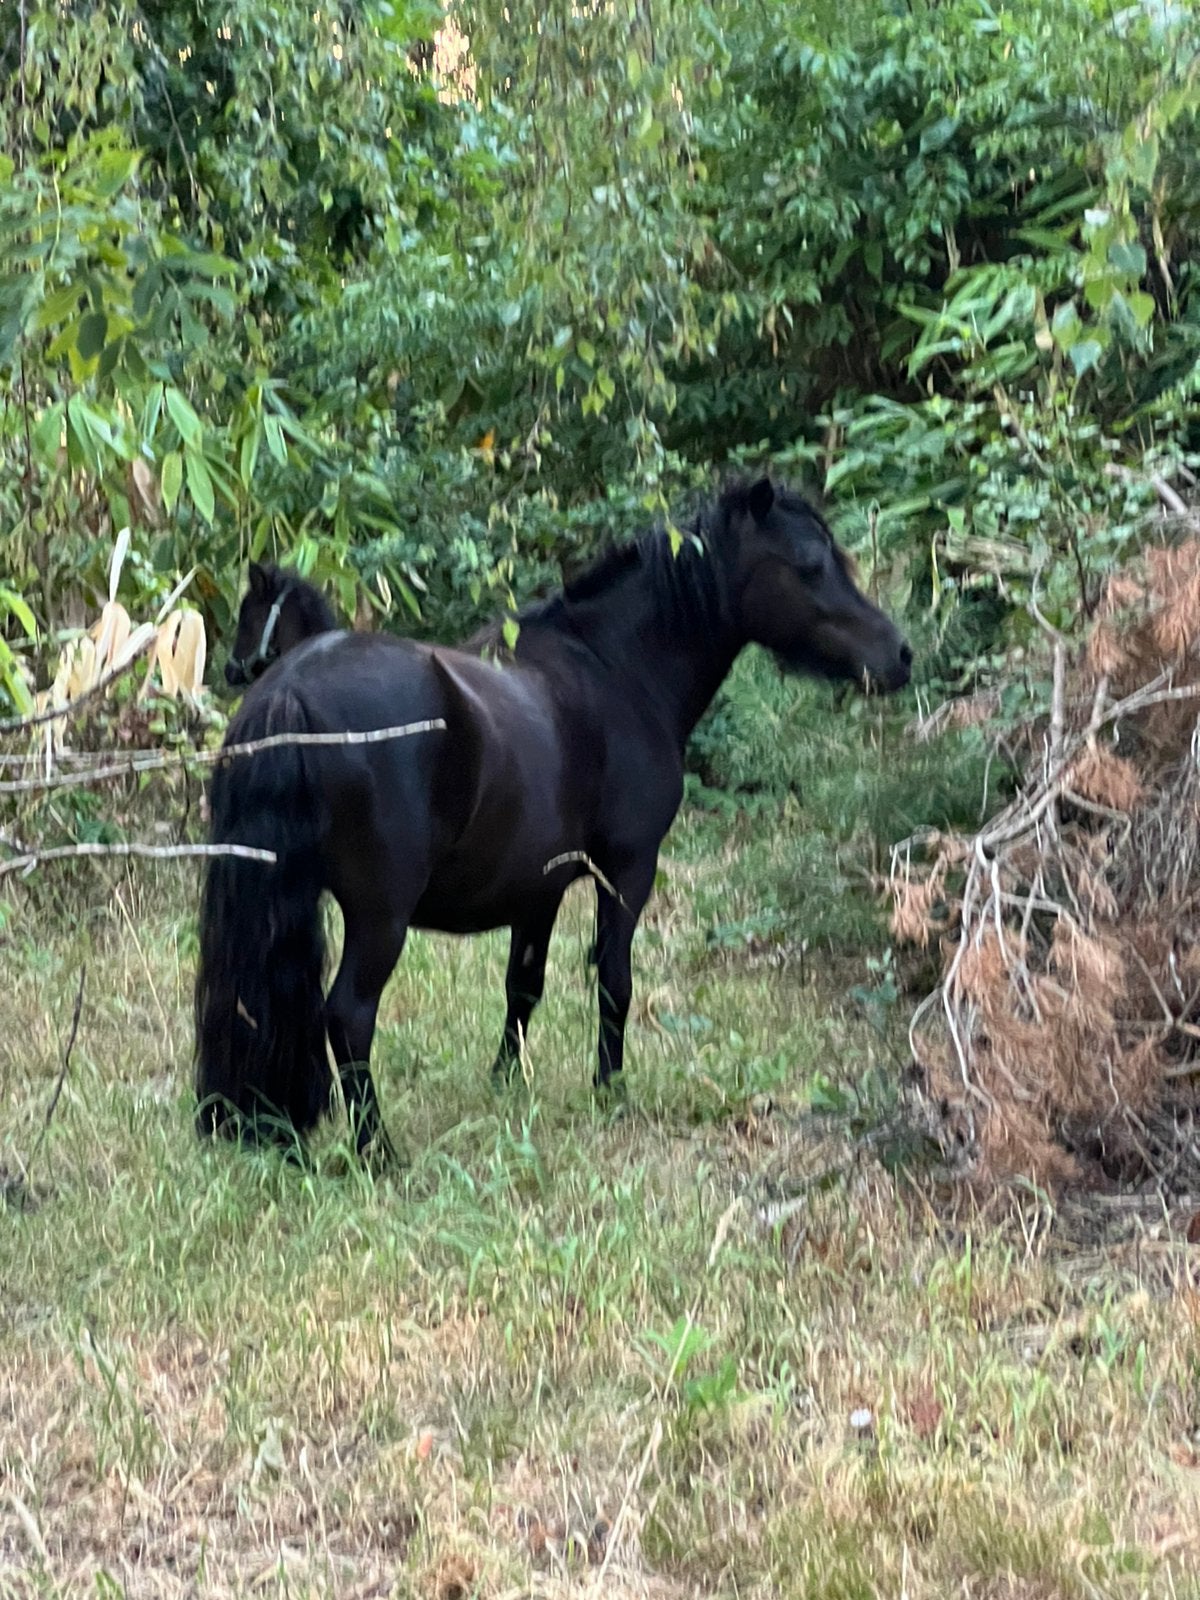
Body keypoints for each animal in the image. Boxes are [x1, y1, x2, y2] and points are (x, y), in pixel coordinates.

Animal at [195, 478, 913, 1165]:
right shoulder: (627, 871)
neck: (615, 670)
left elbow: (523, 987)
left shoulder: (536, 889)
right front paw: (611, 1090)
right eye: (810, 565)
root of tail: (289, 687)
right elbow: (615, 984)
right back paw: (378, 1150)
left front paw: (506, 1082)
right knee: (348, 1015)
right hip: (379, 918)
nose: (900, 655)